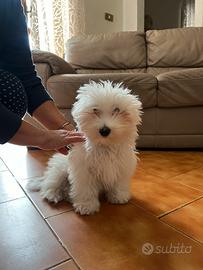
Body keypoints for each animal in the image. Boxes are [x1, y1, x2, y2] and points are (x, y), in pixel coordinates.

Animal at [29, 80, 142, 215]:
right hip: (60, 170)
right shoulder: (83, 171)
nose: (104, 130)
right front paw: (86, 205)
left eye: (117, 110)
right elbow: (86, 188)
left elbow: (119, 183)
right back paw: (53, 194)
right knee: (50, 184)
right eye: (95, 110)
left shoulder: (122, 166)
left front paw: (119, 196)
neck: (105, 146)